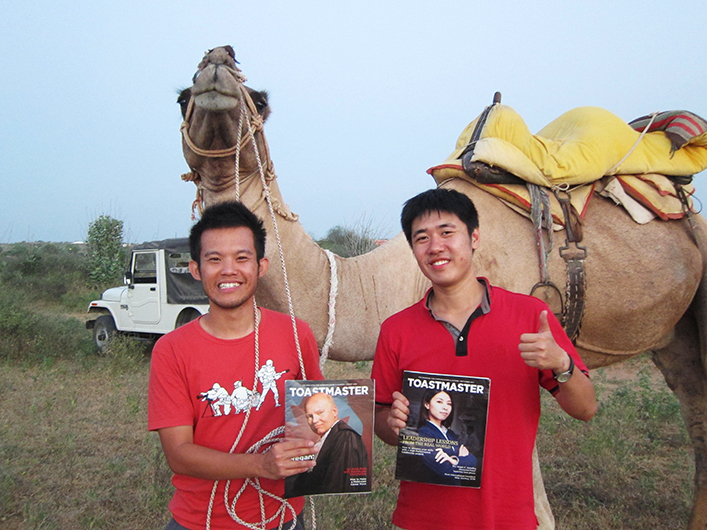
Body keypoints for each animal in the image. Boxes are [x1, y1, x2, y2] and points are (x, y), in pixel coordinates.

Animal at [180, 46, 707, 528]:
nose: (217, 59)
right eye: (183, 95)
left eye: (260, 100)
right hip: (673, 332)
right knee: (695, 409)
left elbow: (533, 498)